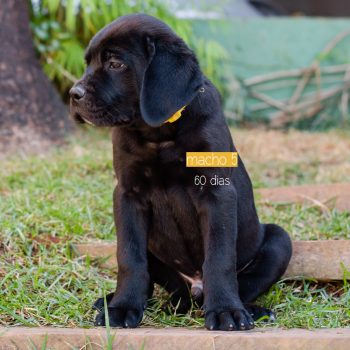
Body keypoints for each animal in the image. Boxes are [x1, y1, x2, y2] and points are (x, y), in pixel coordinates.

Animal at [69, 13, 292, 330]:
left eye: (115, 64)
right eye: (88, 63)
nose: (73, 94)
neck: (159, 133)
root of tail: (194, 288)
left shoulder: (216, 191)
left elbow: (219, 258)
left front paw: (226, 311)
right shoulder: (127, 194)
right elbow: (129, 257)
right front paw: (122, 308)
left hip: (279, 241)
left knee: (242, 283)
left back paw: (249, 309)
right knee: (164, 286)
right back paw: (120, 300)